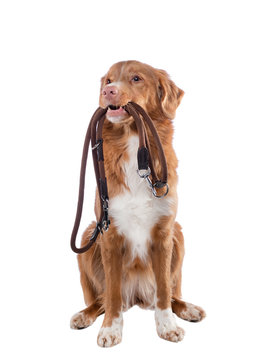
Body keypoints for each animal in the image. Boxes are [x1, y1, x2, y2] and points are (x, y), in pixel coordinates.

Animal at [70, 61, 206, 346]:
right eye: (108, 80)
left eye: (136, 78)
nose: (108, 91)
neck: (133, 142)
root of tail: (137, 297)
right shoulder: (108, 232)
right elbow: (111, 293)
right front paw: (110, 329)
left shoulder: (164, 232)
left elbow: (164, 290)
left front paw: (167, 326)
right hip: (89, 236)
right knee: (101, 299)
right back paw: (84, 315)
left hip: (178, 234)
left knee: (169, 293)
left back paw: (187, 308)